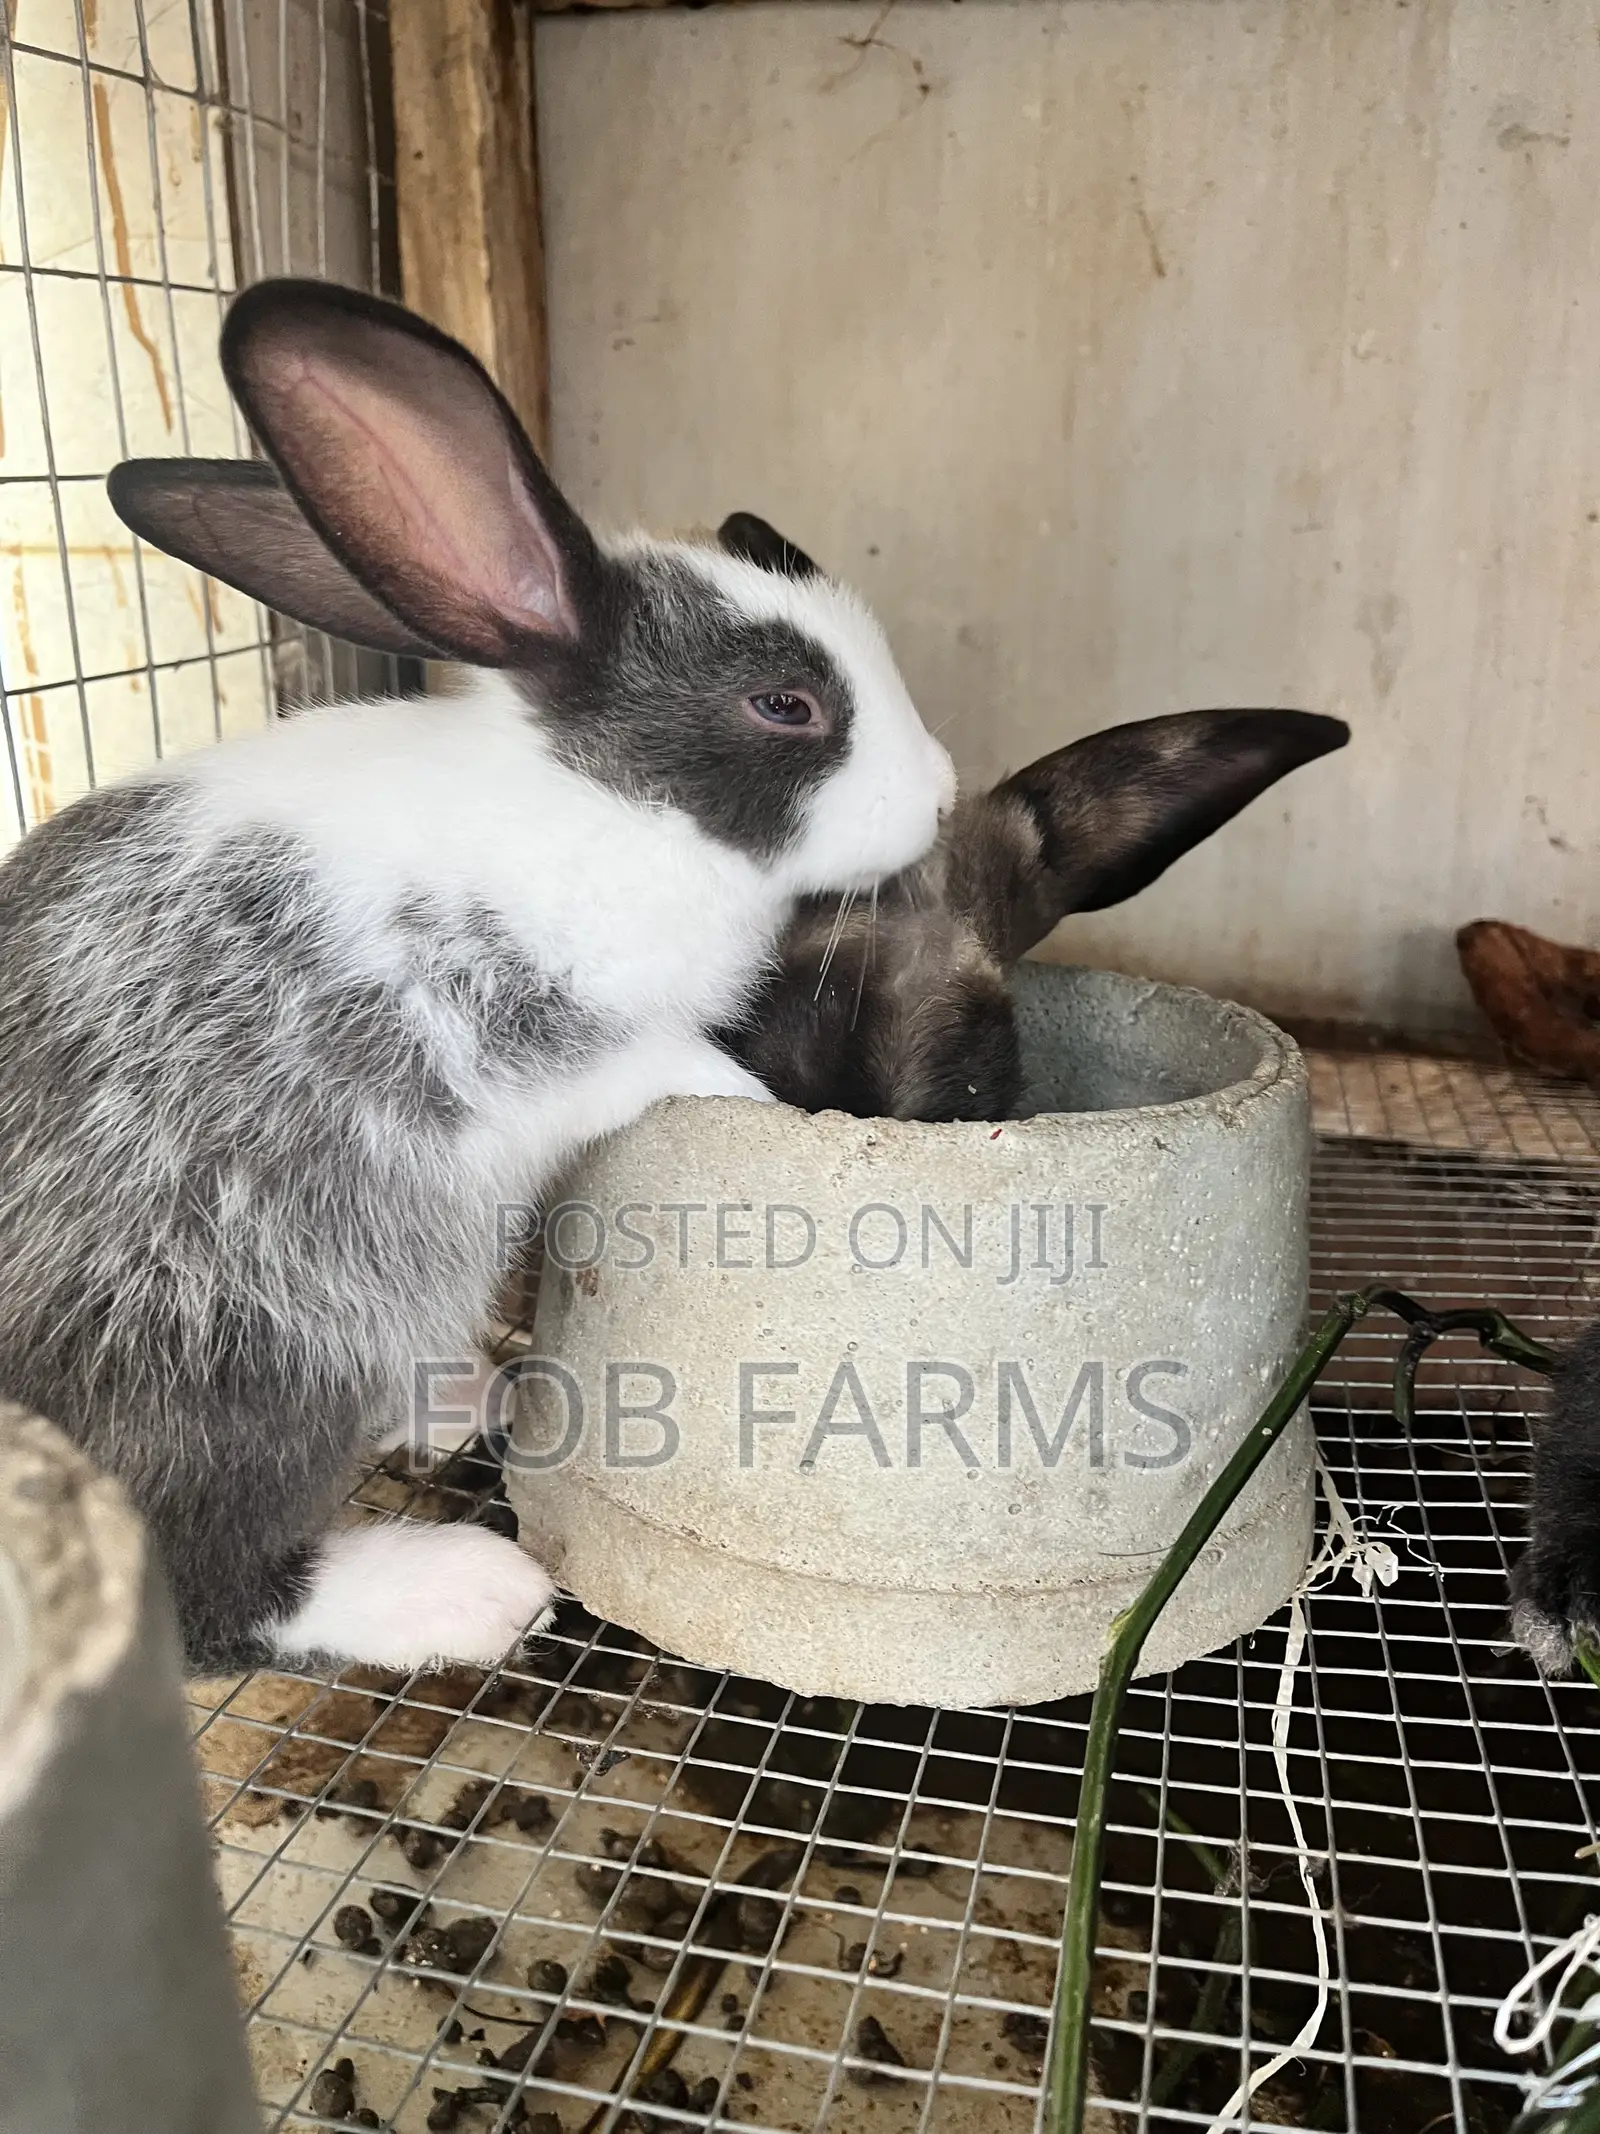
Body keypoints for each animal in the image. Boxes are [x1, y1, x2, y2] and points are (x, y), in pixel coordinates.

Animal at [0, 280, 954, 1678]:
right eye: (786, 703)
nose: (943, 795)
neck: (605, 804)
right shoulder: (534, 1024)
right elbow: (664, 1059)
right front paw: (760, 1102)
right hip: (234, 1350)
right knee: (212, 1592)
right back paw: (459, 1587)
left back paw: (454, 1400)